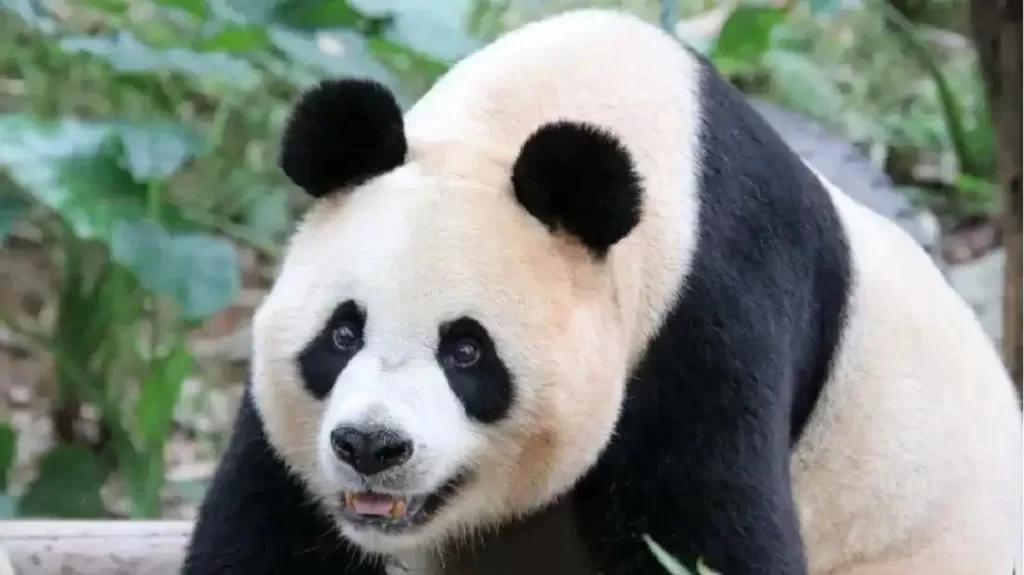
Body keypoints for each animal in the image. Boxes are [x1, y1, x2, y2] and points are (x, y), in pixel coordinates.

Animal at [182, 8, 1023, 575]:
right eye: (342, 333)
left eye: (467, 351)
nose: (370, 445)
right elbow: (263, 522)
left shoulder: (710, 317)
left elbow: (711, 533)